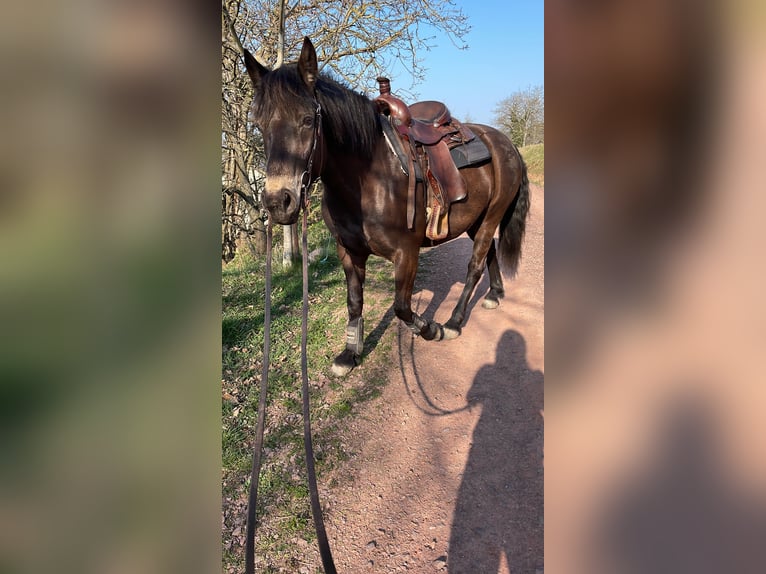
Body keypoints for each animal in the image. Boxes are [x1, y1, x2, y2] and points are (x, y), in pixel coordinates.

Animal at [244, 37, 528, 378]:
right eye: (259, 125)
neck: (369, 178)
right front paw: (350, 353)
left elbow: (401, 307)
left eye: (308, 120)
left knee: (475, 265)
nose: (278, 202)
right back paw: (495, 295)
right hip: (478, 219)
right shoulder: (348, 251)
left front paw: (430, 328)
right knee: (491, 253)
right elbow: (354, 301)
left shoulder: (406, 253)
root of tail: (503, 141)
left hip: (492, 215)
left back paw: (454, 322)